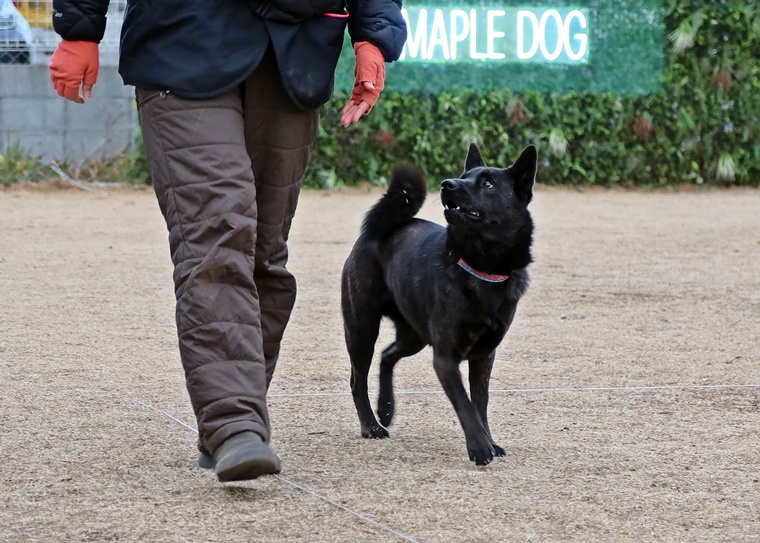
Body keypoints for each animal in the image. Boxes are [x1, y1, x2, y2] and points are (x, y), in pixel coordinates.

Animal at [341, 143, 537, 465]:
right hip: (362, 329)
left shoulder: (484, 356)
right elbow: (465, 404)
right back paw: (372, 425)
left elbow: (480, 402)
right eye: (463, 176)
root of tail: (381, 229)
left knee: (387, 356)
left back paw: (386, 408)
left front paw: (489, 442)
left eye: (487, 184)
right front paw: (480, 448)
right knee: (358, 380)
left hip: (414, 336)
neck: (479, 268)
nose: (447, 184)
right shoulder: (445, 358)